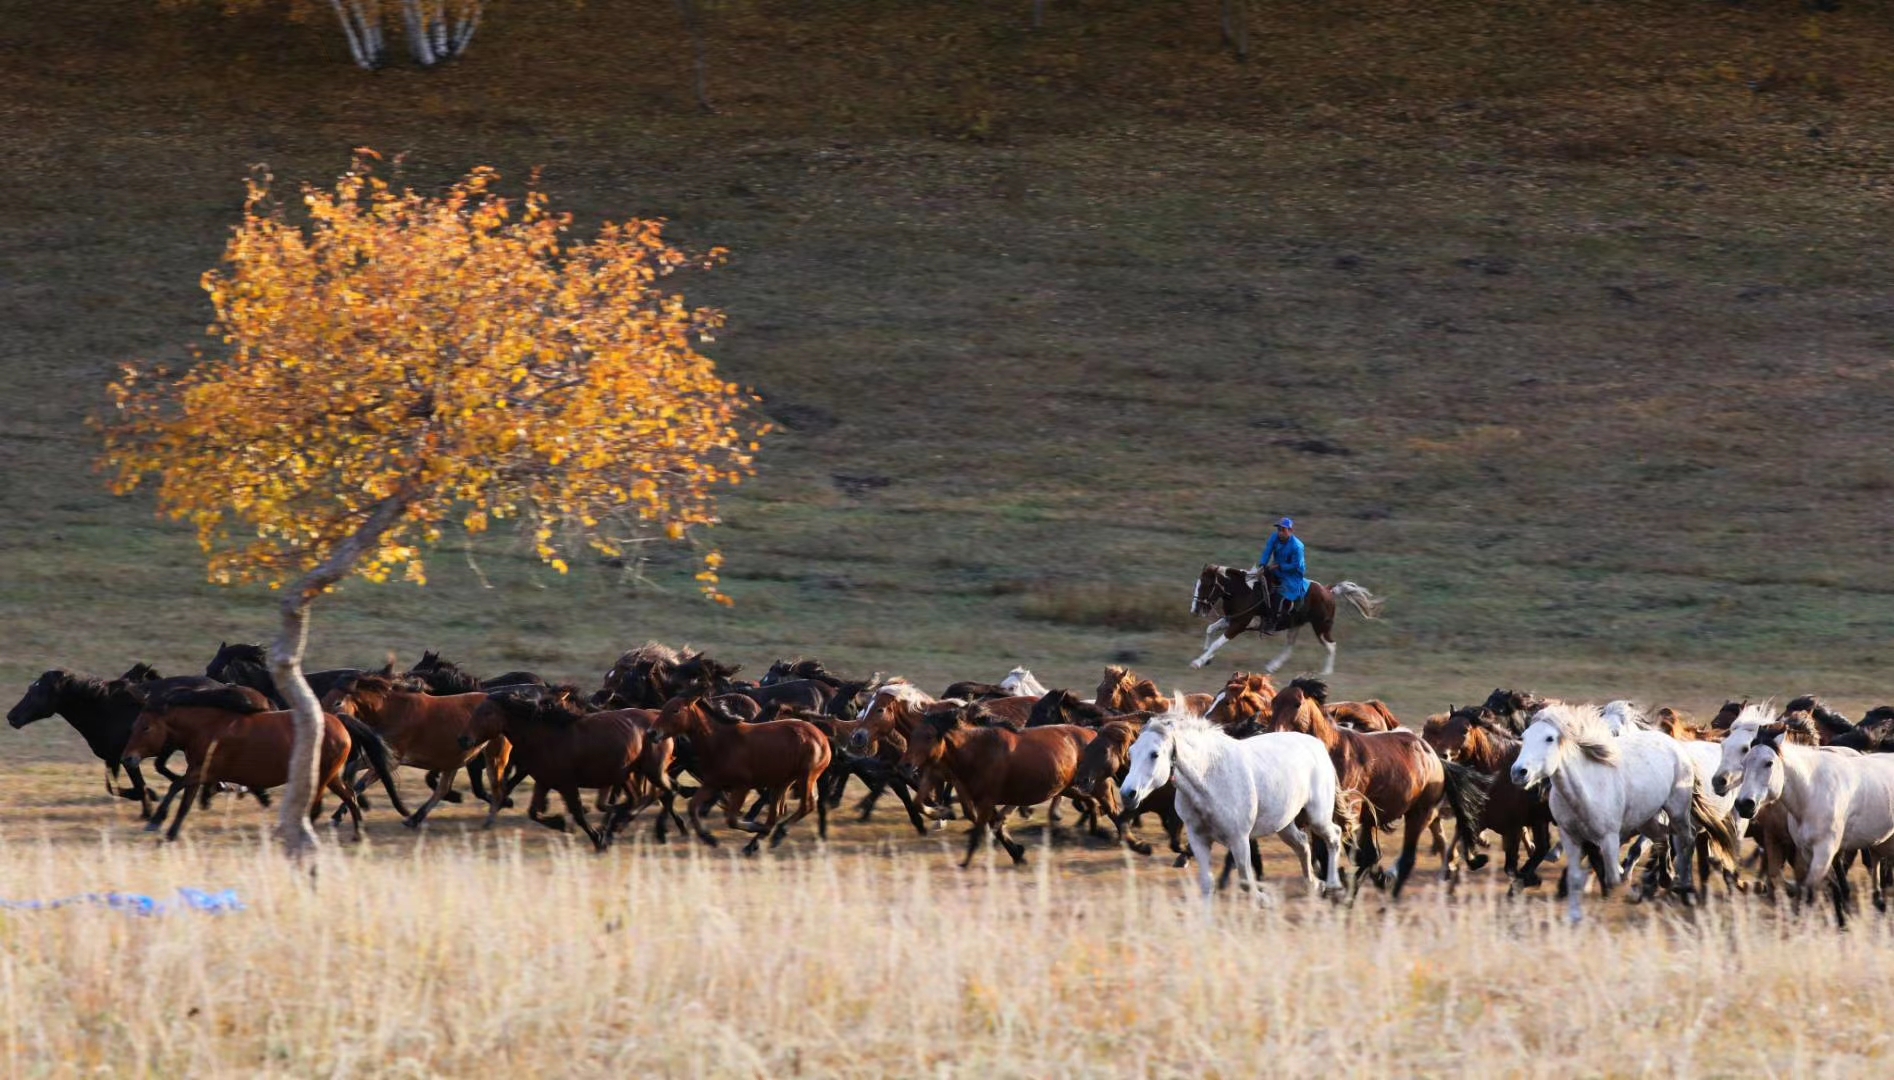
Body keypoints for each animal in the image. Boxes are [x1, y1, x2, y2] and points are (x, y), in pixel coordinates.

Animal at [123, 682, 369, 841]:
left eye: (146, 727)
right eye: (134, 724)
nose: (127, 758)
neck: (208, 727)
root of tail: (339, 722)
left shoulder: (205, 770)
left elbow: (176, 785)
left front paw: (155, 821)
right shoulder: (197, 770)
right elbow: (185, 803)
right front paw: (171, 833)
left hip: (321, 775)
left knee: (317, 807)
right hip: (331, 776)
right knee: (349, 796)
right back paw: (358, 834)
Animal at [659, 693, 829, 852]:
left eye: (675, 710)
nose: (654, 732)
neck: (720, 740)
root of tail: (821, 736)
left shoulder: (742, 786)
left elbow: (732, 820)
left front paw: (756, 825)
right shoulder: (713, 783)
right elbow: (693, 806)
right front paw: (709, 838)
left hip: (806, 776)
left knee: (806, 805)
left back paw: (774, 835)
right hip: (784, 781)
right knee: (776, 813)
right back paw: (755, 843)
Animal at [1113, 697, 1356, 890]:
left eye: (1154, 754)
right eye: (1131, 752)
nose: (1128, 793)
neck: (1209, 780)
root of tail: (1317, 744)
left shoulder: (1239, 839)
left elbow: (1246, 881)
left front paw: (1265, 900)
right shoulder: (1199, 839)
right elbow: (1207, 883)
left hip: (1317, 815)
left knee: (1334, 835)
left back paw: (1333, 884)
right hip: (1284, 824)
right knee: (1303, 844)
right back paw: (1314, 883)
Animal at [1189, 564, 1386, 674]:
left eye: (1206, 585)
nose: (1195, 610)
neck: (1244, 591)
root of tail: (1328, 590)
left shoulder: (1239, 624)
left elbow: (1218, 642)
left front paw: (1198, 661)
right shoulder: (1231, 619)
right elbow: (1210, 630)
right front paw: (1207, 657)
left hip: (1321, 627)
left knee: (1331, 645)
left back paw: (1326, 672)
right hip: (1295, 625)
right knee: (1290, 647)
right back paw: (1273, 666)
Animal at [1265, 674, 1484, 890]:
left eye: (1297, 703)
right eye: (1274, 702)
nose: (1274, 732)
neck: (1332, 753)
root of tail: (1436, 758)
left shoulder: (1348, 814)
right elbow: (1329, 855)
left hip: (1419, 814)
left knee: (1404, 857)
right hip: (1375, 818)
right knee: (1374, 855)